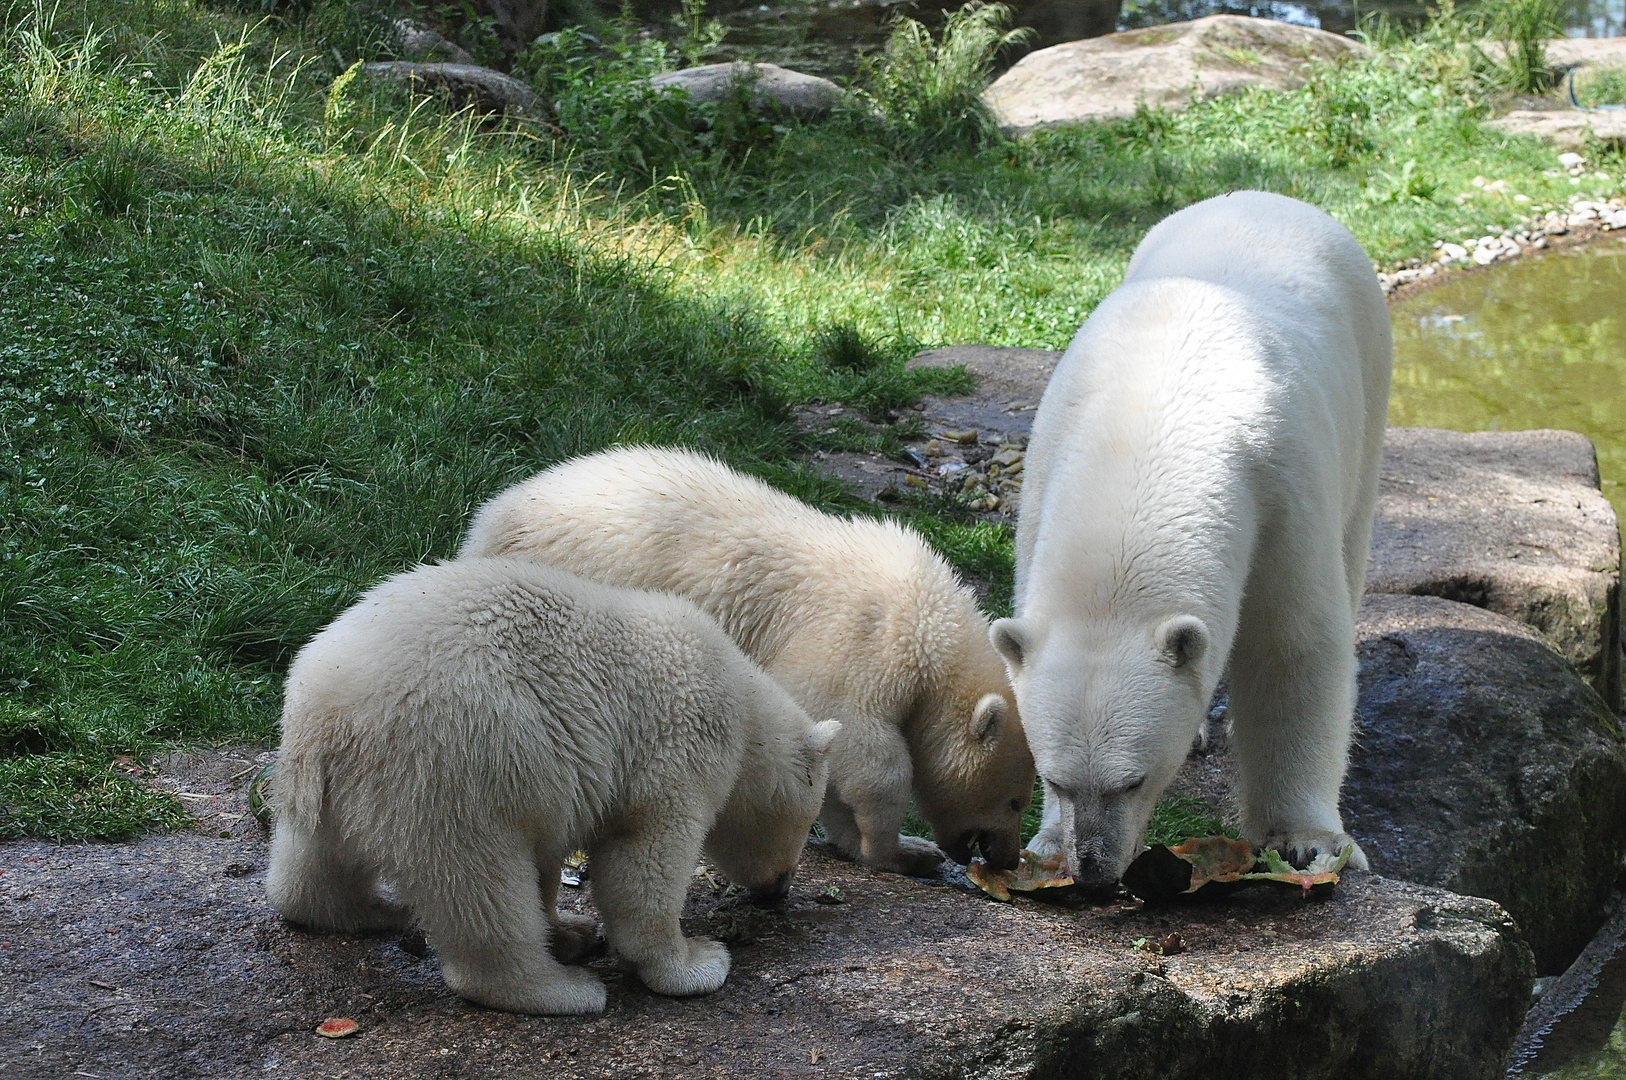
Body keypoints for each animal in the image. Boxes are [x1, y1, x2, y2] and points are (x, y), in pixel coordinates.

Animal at [995, 189, 1391, 891]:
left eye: (1132, 781)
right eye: (1054, 778)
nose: (1094, 872)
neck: (1146, 431)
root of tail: (1269, 196)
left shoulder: (1279, 483)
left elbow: (1296, 643)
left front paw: (1308, 842)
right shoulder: (1047, 468)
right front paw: (1044, 845)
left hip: (1367, 377)